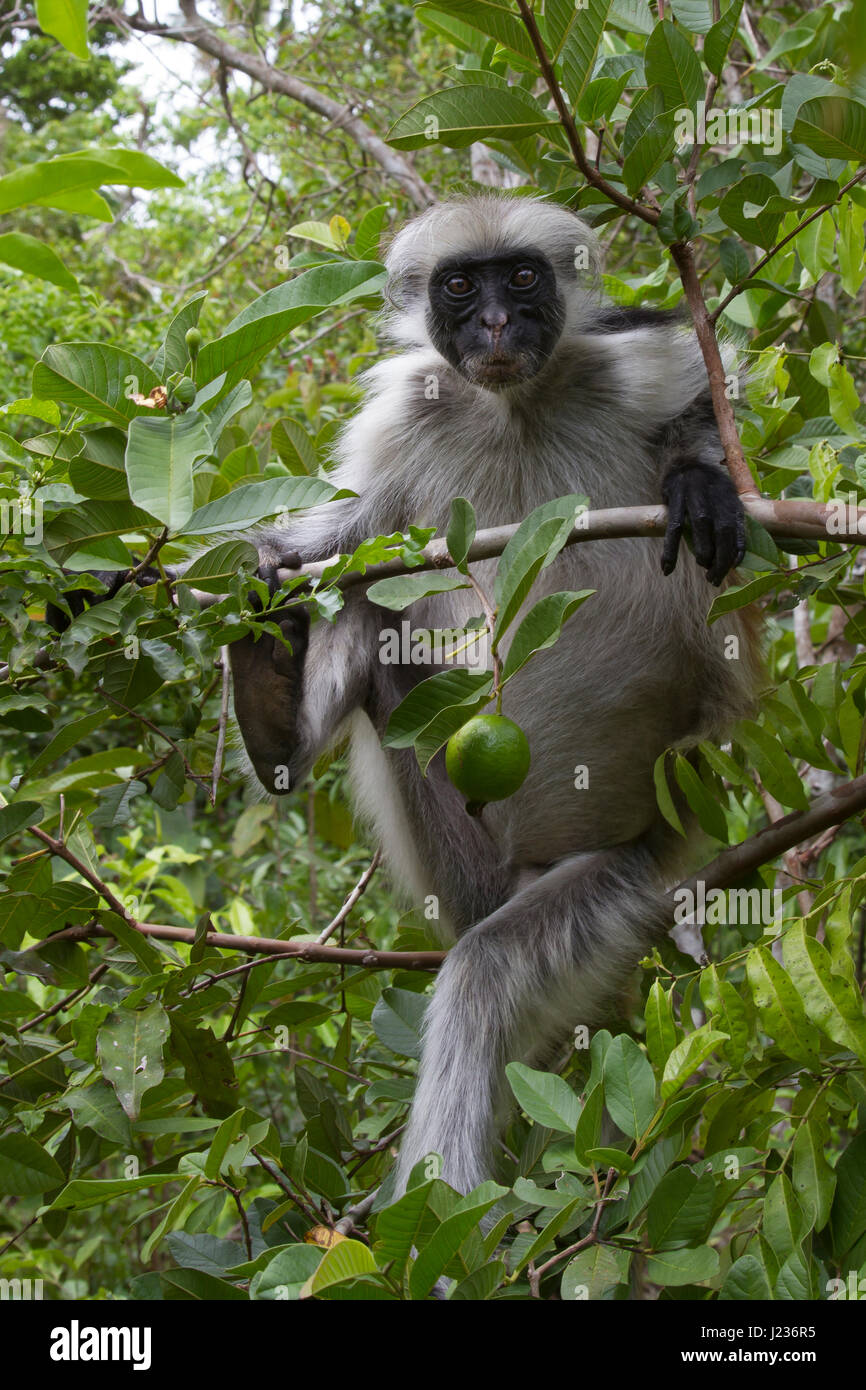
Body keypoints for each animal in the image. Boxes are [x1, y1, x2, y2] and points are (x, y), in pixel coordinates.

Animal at [232, 193, 767, 1195]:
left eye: (521, 278)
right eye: (458, 287)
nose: (490, 325)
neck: (514, 401)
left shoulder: (626, 352)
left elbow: (703, 401)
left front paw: (699, 479)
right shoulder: (409, 409)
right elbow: (346, 543)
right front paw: (266, 575)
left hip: (623, 867)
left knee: (487, 974)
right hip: (452, 851)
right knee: (368, 602)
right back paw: (272, 717)